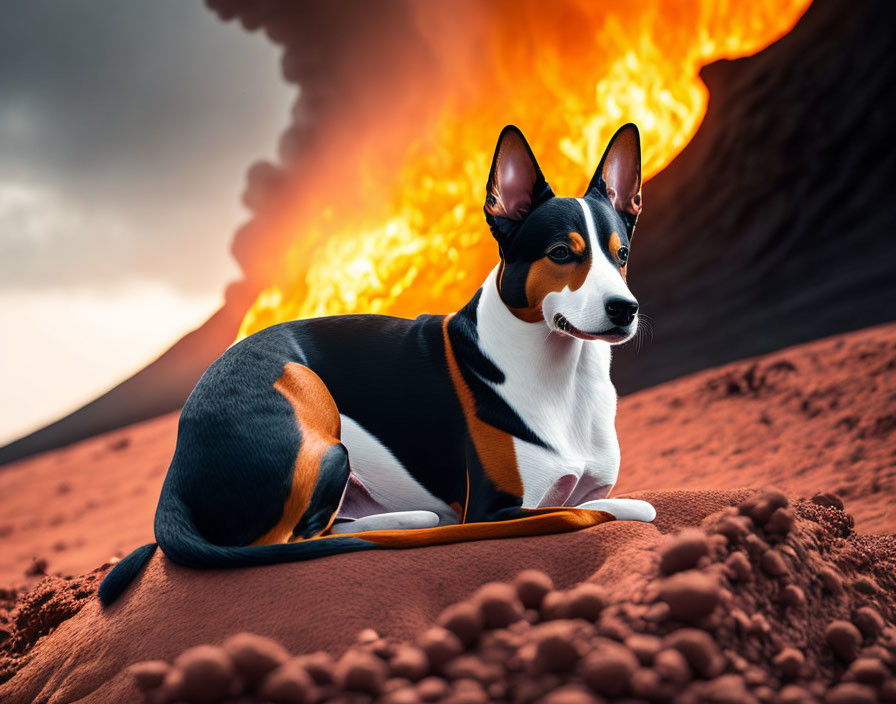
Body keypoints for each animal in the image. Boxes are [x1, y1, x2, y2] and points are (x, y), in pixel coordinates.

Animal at [98, 121, 656, 604]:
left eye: (622, 255)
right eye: (561, 253)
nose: (625, 308)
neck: (564, 374)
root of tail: (174, 472)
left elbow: (602, 498)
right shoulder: (494, 506)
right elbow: (613, 506)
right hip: (313, 414)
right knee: (292, 541)